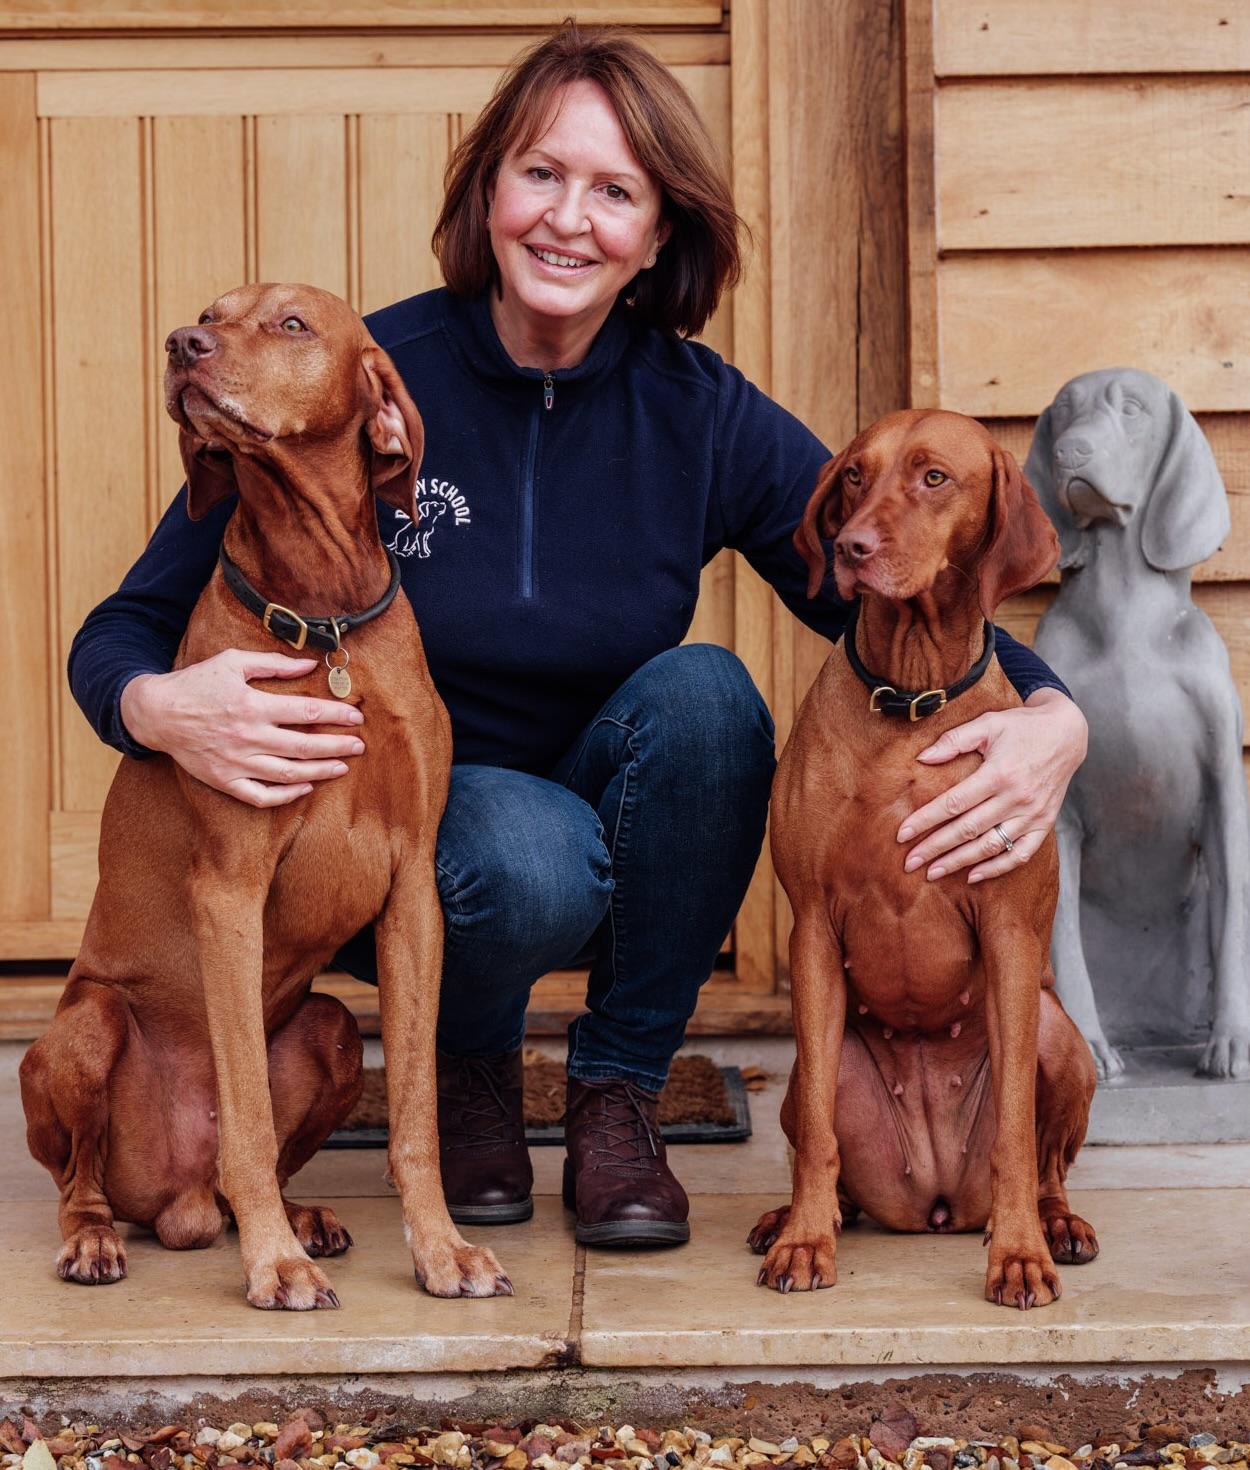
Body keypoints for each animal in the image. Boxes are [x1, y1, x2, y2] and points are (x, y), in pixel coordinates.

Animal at [19, 283, 508, 1311]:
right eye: (209, 314)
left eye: (291, 324)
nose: (180, 344)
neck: (324, 619)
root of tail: (178, 1201)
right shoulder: (230, 890)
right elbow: (242, 1106)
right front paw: (273, 1265)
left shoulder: (415, 894)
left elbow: (415, 1115)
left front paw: (442, 1248)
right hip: (84, 1029)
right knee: (85, 1179)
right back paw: (109, 1240)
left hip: (328, 1029)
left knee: (267, 1151)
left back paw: (300, 1218)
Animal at [750, 411, 1094, 1311]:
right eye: (853, 477)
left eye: (934, 477)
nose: (852, 548)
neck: (909, 700)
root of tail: (936, 1201)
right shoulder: (812, 930)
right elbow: (818, 1141)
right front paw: (806, 1243)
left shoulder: (1009, 934)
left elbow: (1015, 1134)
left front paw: (1018, 1256)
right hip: (814, 1064)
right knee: (820, 1137)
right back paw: (795, 1216)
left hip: (1058, 1035)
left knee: (1047, 1161)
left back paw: (1055, 1224)